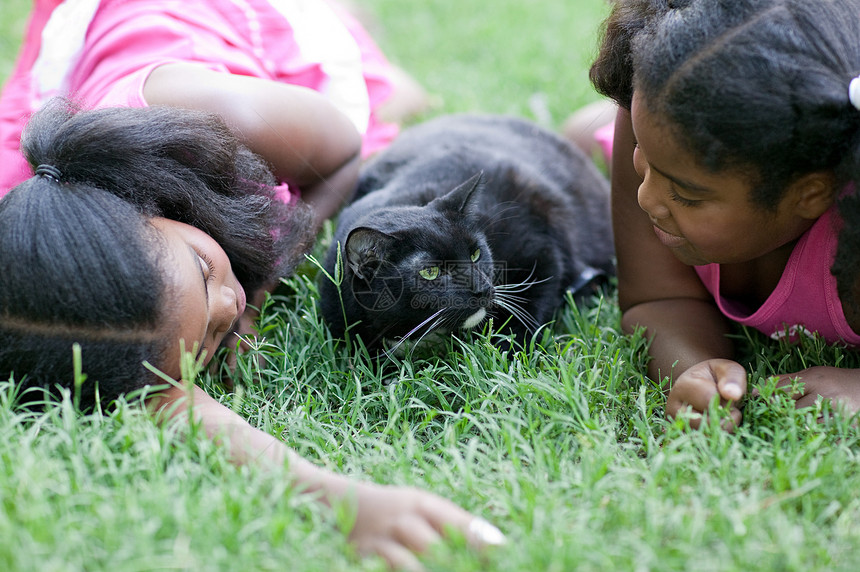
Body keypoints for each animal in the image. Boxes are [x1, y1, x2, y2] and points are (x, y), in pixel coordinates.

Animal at [320, 113, 616, 350]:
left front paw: (509, 351)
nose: (482, 288)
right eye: (430, 272)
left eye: (475, 254)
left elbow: (533, 302)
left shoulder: (537, 244)